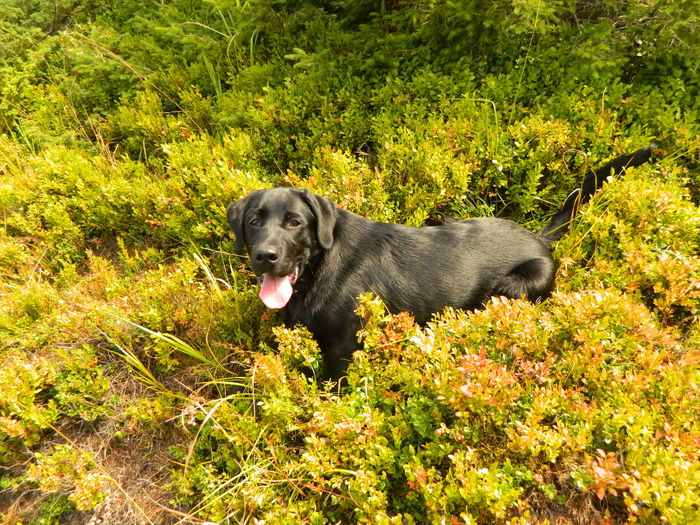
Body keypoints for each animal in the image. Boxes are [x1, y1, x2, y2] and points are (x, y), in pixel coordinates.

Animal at [230, 147, 656, 380]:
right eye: (253, 221)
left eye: (295, 222)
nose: (265, 256)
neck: (319, 268)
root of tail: (538, 237)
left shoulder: (342, 348)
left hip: (514, 287)